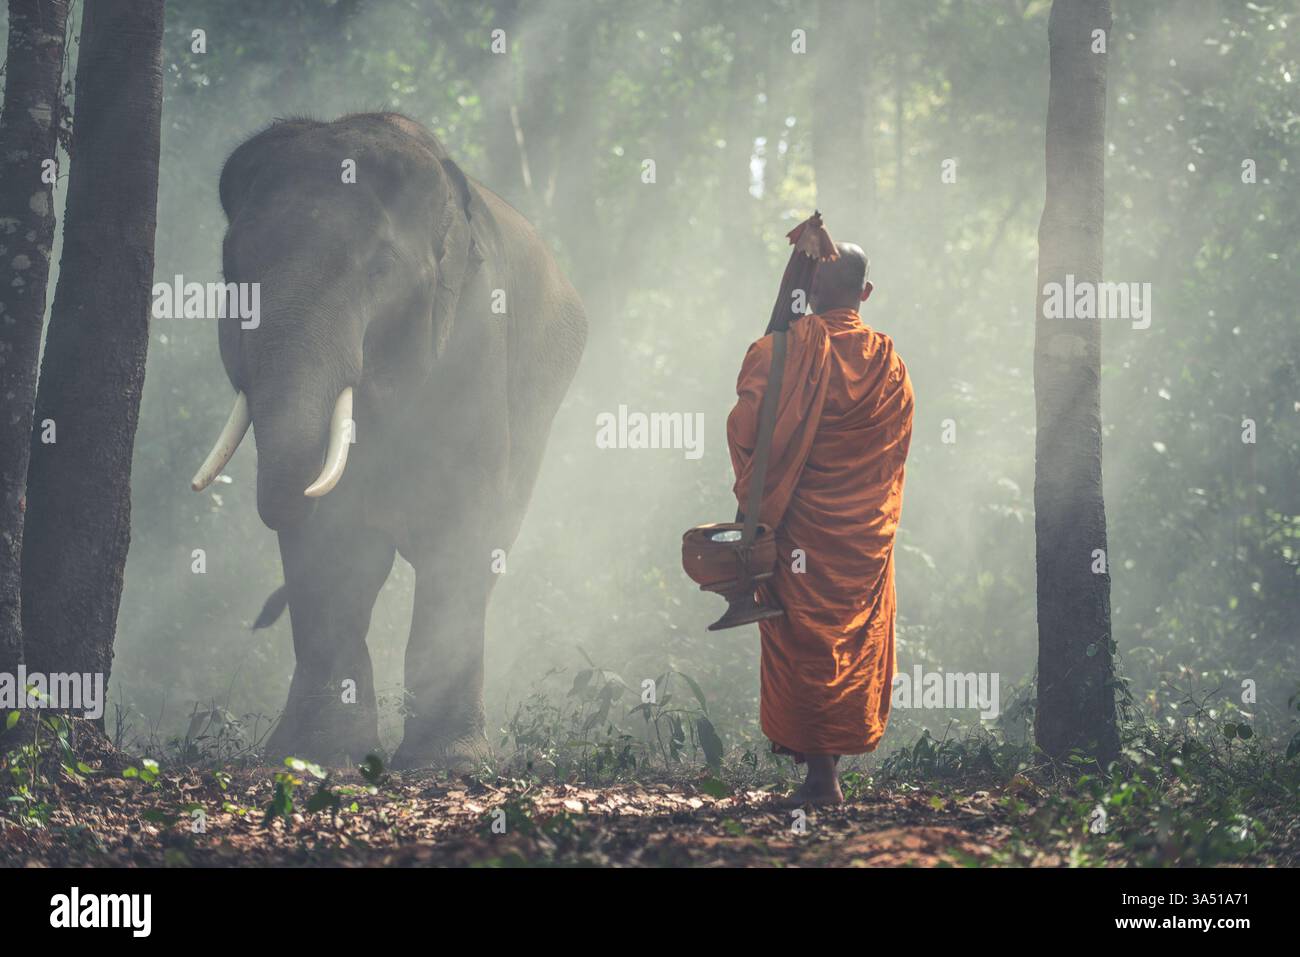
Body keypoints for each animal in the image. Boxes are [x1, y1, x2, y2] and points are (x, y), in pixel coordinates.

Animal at [190, 113, 587, 769]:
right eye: (231, 274)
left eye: (379, 269)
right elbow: (335, 543)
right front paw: (316, 756)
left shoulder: (477, 332)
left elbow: (461, 523)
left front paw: (447, 762)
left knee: (491, 545)